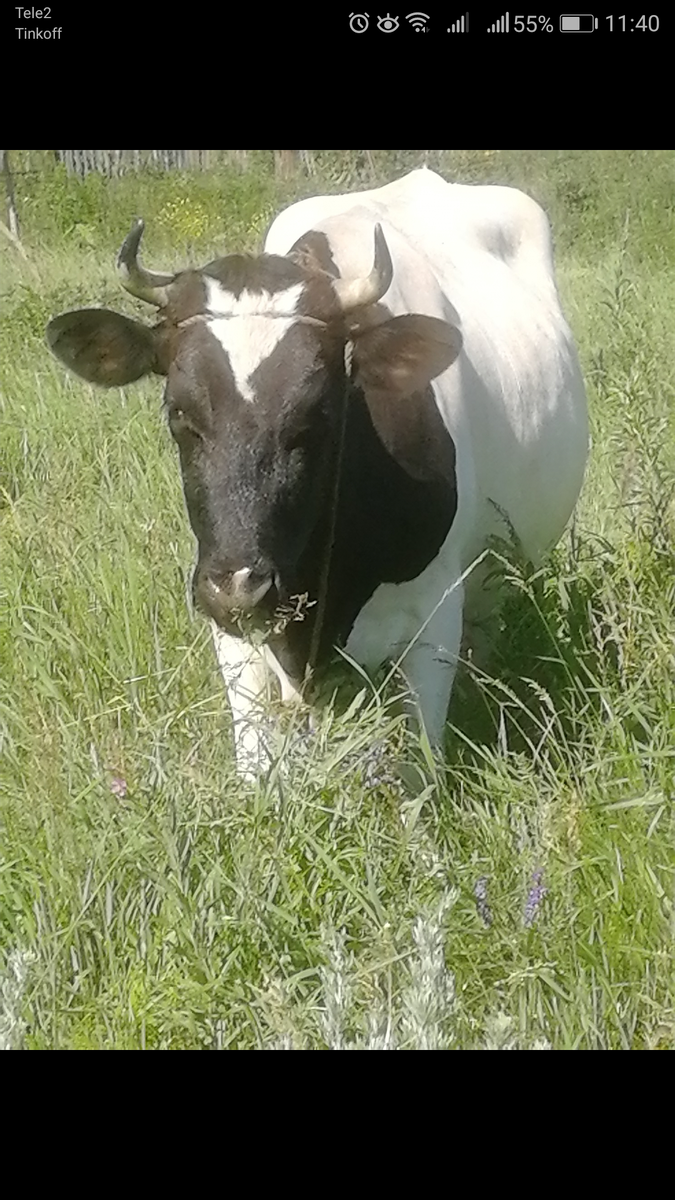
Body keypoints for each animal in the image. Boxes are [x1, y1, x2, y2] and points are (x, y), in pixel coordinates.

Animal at [47, 174, 586, 782]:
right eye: (178, 412)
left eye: (319, 413)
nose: (240, 586)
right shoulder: (231, 626)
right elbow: (256, 764)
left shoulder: (436, 616)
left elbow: (420, 770)